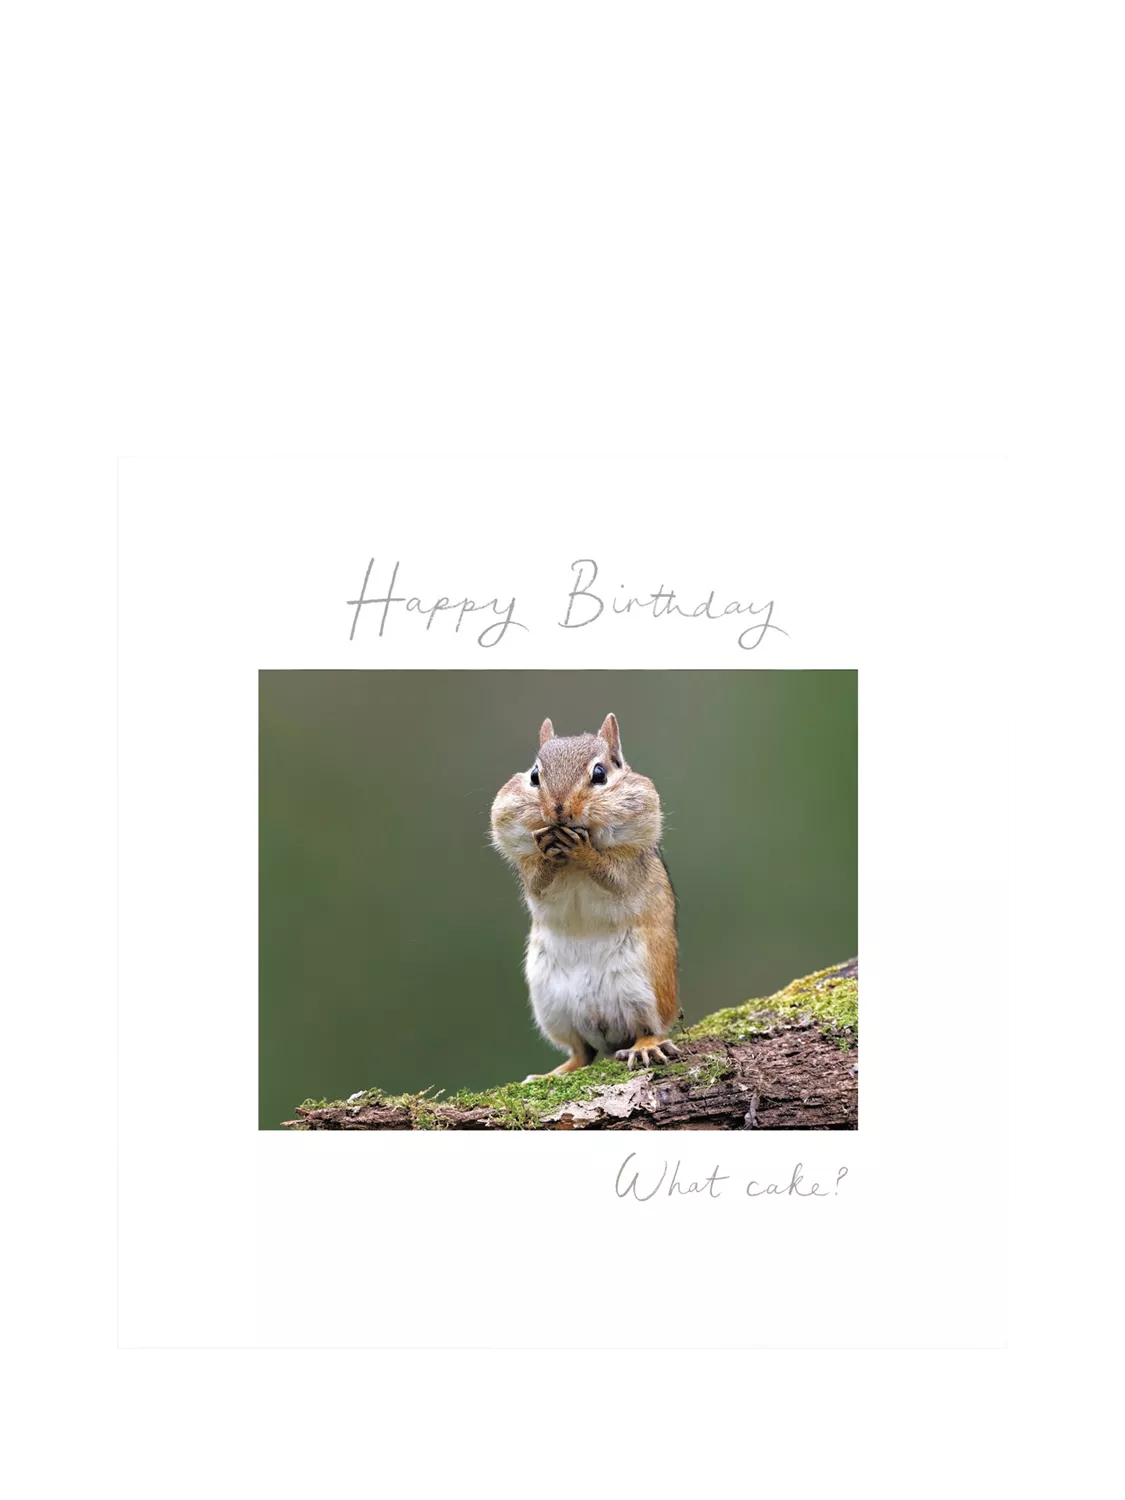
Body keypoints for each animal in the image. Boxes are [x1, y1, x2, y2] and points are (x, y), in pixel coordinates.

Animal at [490, 712, 679, 1079]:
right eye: (534, 776)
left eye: (600, 774)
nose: (558, 809)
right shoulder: (528, 869)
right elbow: (536, 880)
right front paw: (548, 850)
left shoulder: (629, 863)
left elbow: (613, 876)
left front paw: (583, 851)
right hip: (552, 1006)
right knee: (581, 1052)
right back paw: (553, 1073)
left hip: (645, 990)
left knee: (649, 1029)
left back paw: (645, 1047)